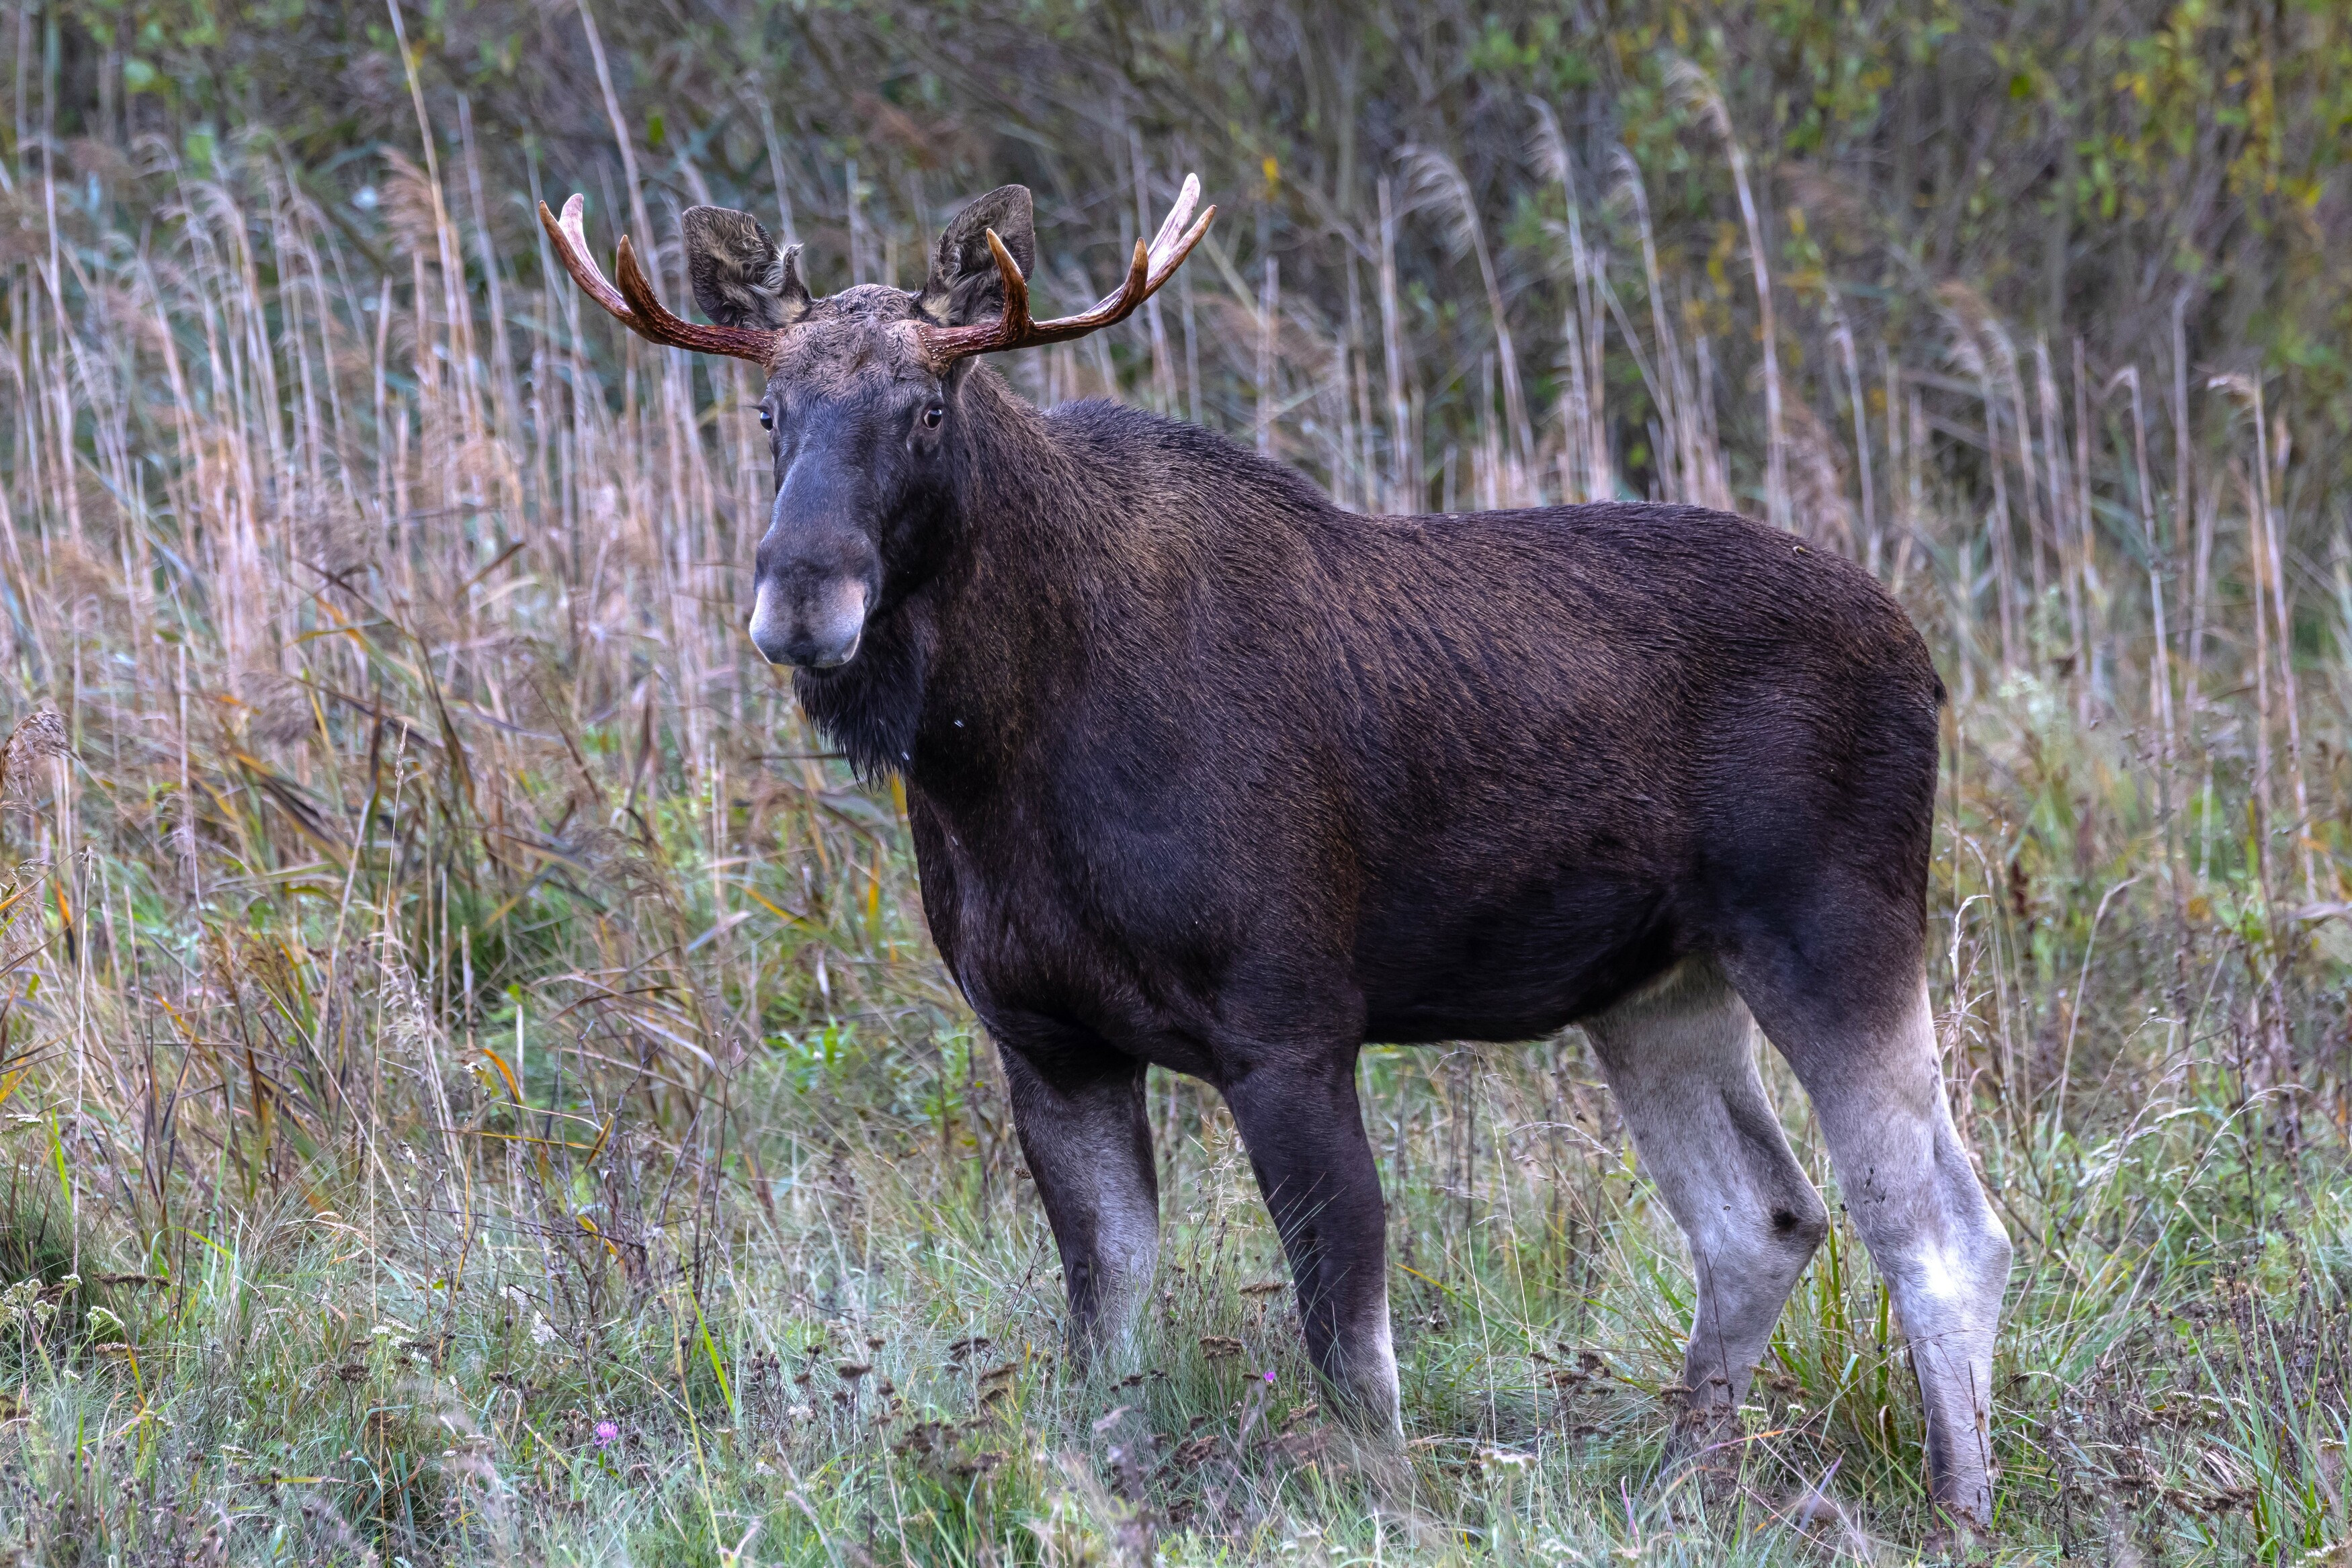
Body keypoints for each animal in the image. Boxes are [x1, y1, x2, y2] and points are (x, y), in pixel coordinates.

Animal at [538, 177, 2023, 1523]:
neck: (992, 760)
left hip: (1834, 925)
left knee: (1939, 1227)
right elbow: (1107, 1325)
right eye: (768, 412)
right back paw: (1679, 1484)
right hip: (1657, 986)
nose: (802, 596)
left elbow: (1348, 1342)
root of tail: (1926, 656)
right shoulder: (1045, 1037)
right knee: (1762, 1219)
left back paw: (1959, 1504)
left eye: (928, 409)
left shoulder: (1291, 1023)